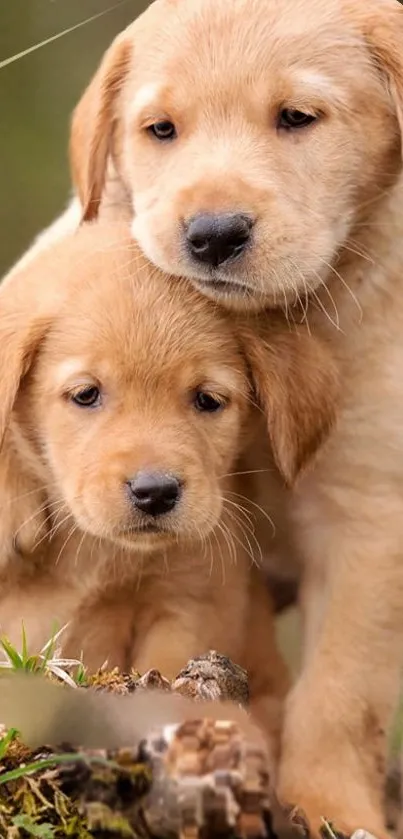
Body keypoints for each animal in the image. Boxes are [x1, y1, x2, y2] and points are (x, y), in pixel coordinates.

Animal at [0, 223, 338, 748]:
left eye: (208, 399)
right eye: (86, 394)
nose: (154, 493)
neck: (100, 555)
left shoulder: (187, 604)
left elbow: (165, 674)